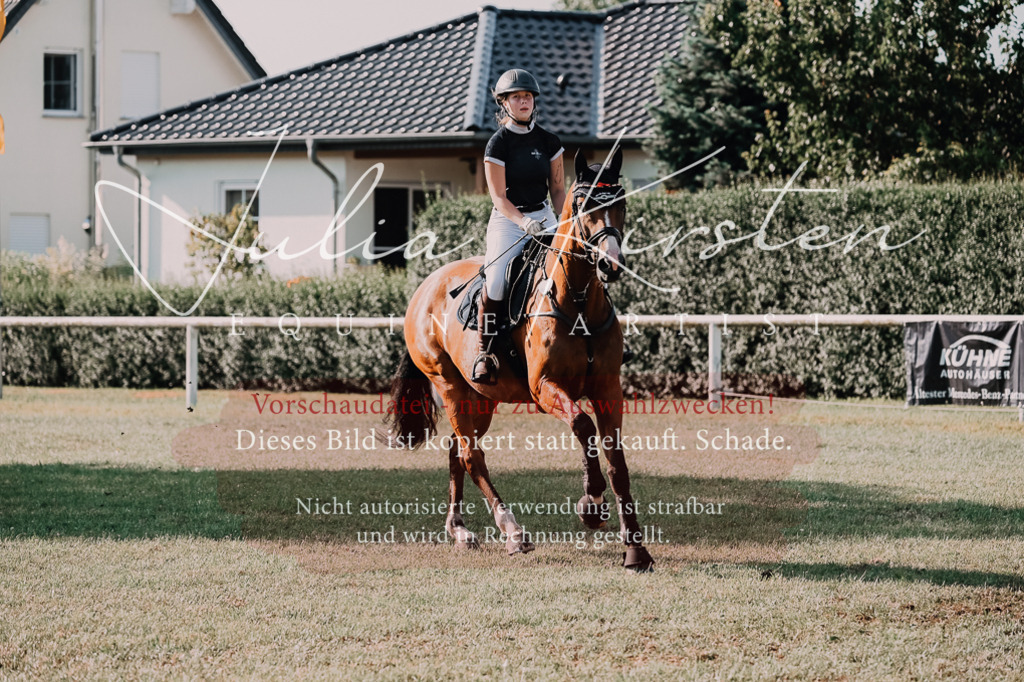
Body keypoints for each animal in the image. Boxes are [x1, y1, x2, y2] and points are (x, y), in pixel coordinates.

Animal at [383, 148, 654, 571]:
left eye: (621, 202)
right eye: (583, 204)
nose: (609, 264)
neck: (578, 300)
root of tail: (425, 286)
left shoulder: (608, 389)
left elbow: (617, 462)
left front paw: (636, 550)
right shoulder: (545, 389)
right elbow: (582, 426)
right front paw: (592, 504)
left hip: (480, 398)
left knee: (457, 450)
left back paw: (460, 530)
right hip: (449, 384)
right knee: (471, 455)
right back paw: (512, 532)